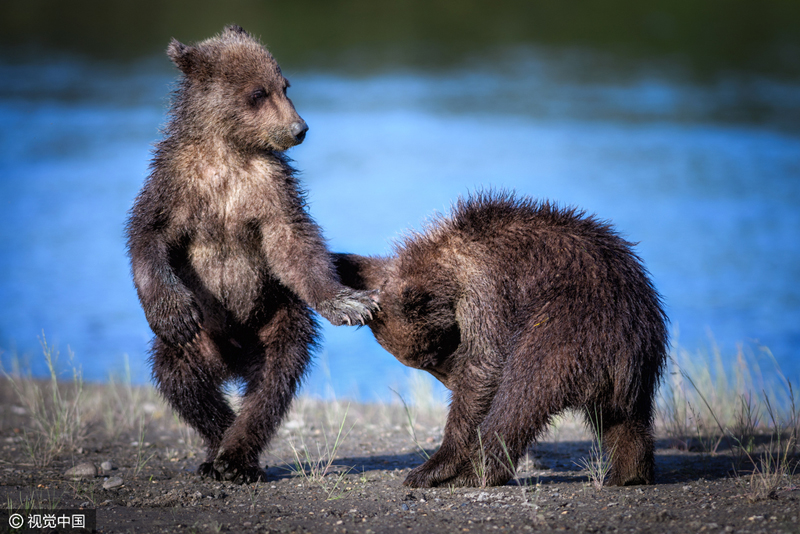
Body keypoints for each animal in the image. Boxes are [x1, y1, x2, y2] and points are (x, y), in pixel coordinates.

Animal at [126, 25, 378, 483]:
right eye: (257, 93)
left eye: (285, 86)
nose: (299, 127)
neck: (229, 149)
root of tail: (233, 359)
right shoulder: (175, 181)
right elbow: (148, 236)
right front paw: (172, 310)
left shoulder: (270, 185)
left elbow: (291, 242)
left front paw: (347, 302)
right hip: (203, 339)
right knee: (181, 376)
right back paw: (218, 446)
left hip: (275, 316)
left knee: (275, 377)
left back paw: (238, 455)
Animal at [333, 192, 668, 488]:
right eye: (427, 362)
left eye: (434, 353)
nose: (450, 382)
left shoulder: (489, 286)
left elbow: (485, 363)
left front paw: (436, 464)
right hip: (631, 359)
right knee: (624, 418)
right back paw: (629, 473)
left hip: (567, 329)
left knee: (520, 395)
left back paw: (472, 474)